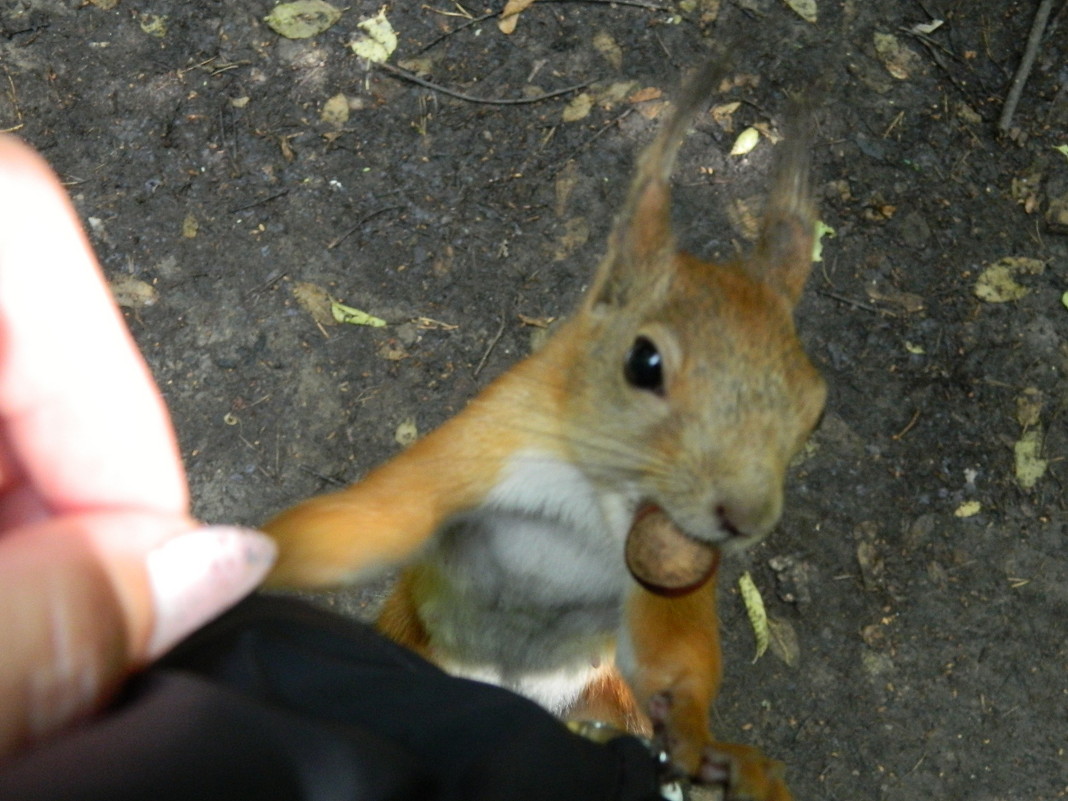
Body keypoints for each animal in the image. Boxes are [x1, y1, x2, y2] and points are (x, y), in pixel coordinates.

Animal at [260, 62, 824, 801]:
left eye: (815, 407)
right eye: (643, 363)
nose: (745, 518)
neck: (589, 497)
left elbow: (671, 649)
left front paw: (699, 736)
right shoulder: (476, 451)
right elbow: (367, 523)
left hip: (602, 687)